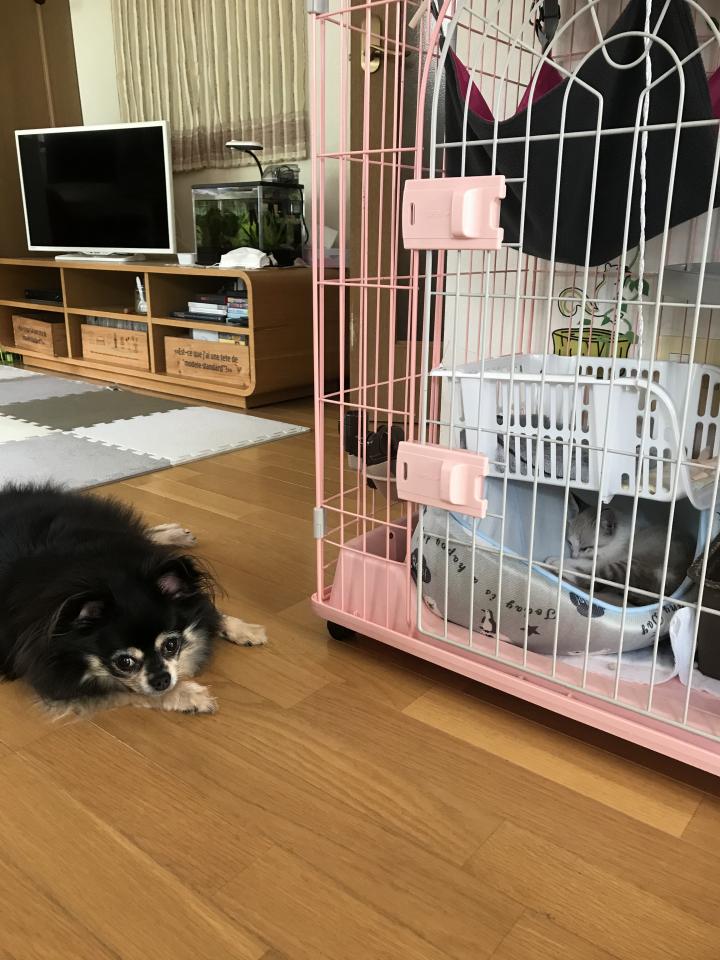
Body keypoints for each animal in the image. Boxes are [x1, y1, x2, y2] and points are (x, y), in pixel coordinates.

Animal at [0, 484, 266, 716]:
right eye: (124, 662)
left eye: (171, 645)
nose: (162, 679)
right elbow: (132, 691)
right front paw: (188, 695)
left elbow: (211, 611)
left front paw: (244, 629)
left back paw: (172, 534)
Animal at [545, 494, 694, 606]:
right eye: (570, 543)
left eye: (585, 548)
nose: (574, 555)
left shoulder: (607, 558)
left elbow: (586, 566)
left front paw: (557, 560)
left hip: (629, 565)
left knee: (592, 581)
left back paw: (556, 565)